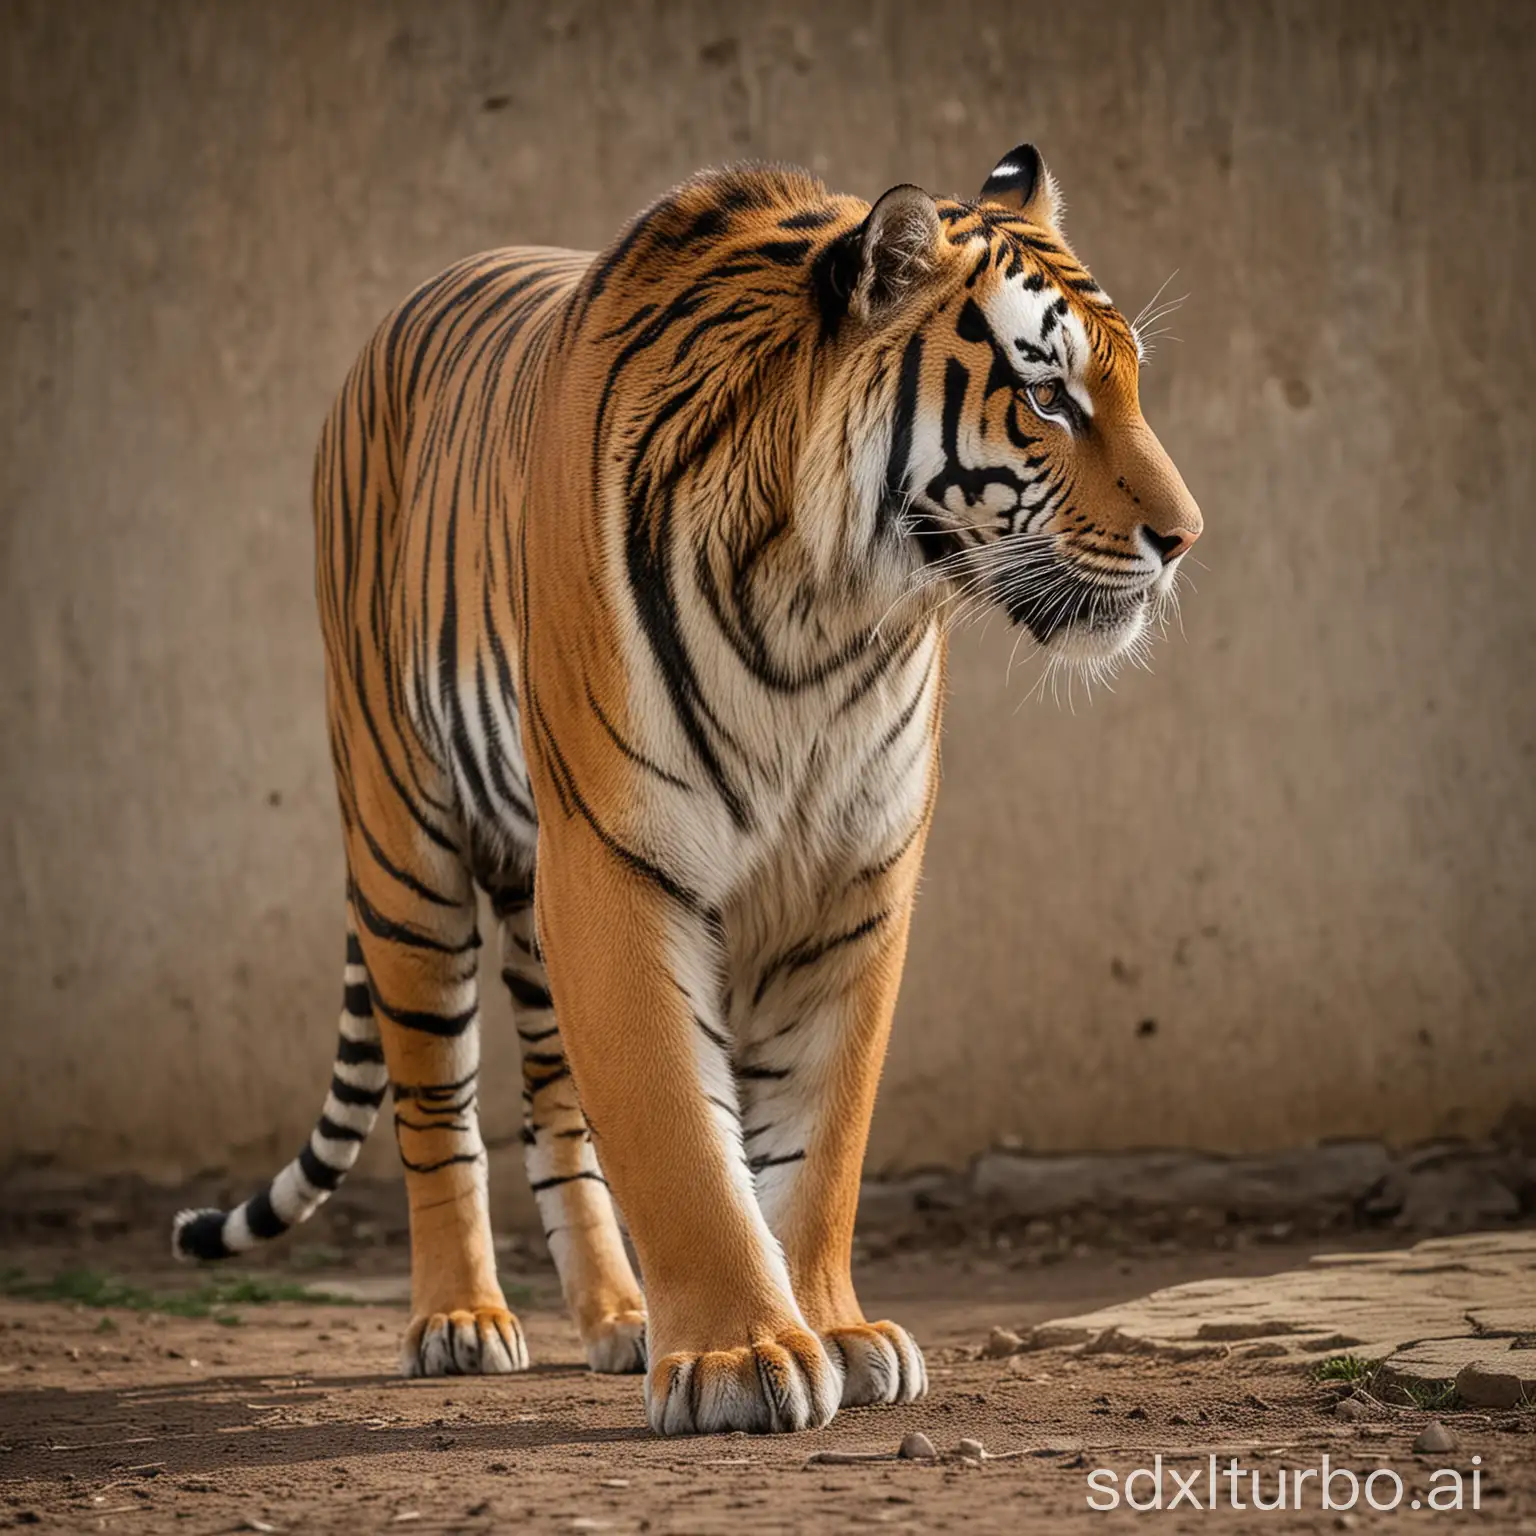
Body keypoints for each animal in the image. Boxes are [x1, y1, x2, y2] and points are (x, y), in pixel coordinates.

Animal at [168, 141, 1198, 1425]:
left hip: (528, 884)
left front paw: (835, 1330)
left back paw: (616, 1318)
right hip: (407, 849)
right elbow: (677, 1131)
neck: (830, 612)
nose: (1186, 538)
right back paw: (459, 1320)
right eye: (1049, 395)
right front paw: (740, 1357)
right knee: (438, 1103)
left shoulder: (851, 880)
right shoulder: (618, 862)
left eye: (1131, 386)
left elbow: (819, 1133)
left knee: (554, 1106)